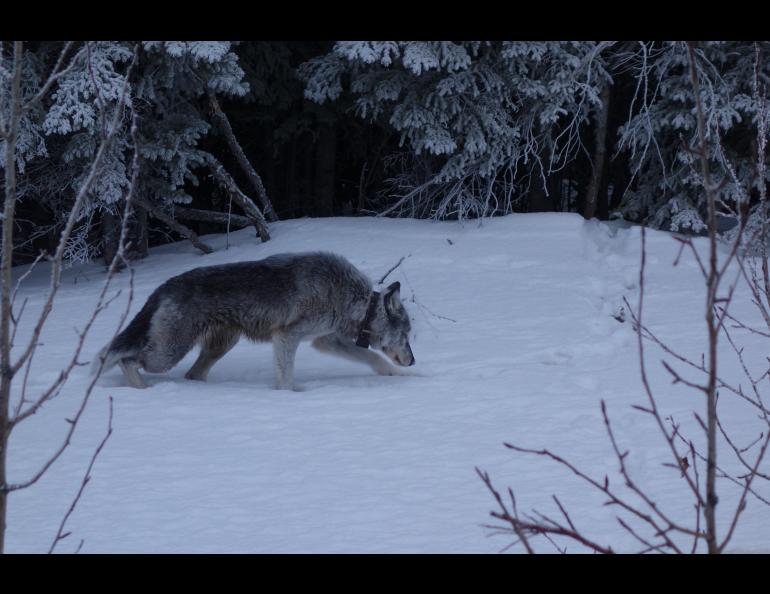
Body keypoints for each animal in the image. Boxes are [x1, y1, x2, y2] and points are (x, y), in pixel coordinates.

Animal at [93, 250, 416, 388]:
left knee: (192, 374)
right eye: (407, 336)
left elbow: (373, 358)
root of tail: (164, 286)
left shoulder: (326, 341)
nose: (413, 361)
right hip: (167, 355)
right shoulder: (286, 336)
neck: (352, 299)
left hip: (219, 346)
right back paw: (141, 389)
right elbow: (285, 378)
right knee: (123, 358)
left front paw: (396, 375)